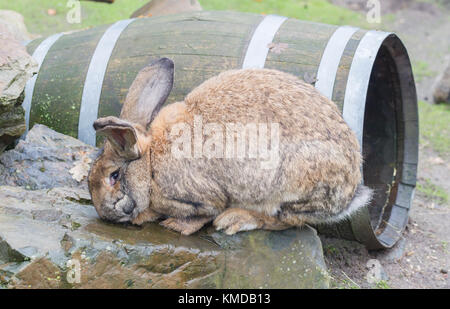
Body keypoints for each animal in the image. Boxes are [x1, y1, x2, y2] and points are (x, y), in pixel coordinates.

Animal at [89, 57, 372, 235]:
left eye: (114, 176)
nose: (104, 213)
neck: (149, 165)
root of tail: (351, 191)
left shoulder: (199, 198)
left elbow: (203, 214)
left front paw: (175, 226)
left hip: (291, 185)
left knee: (285, 220)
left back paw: (234, 220)